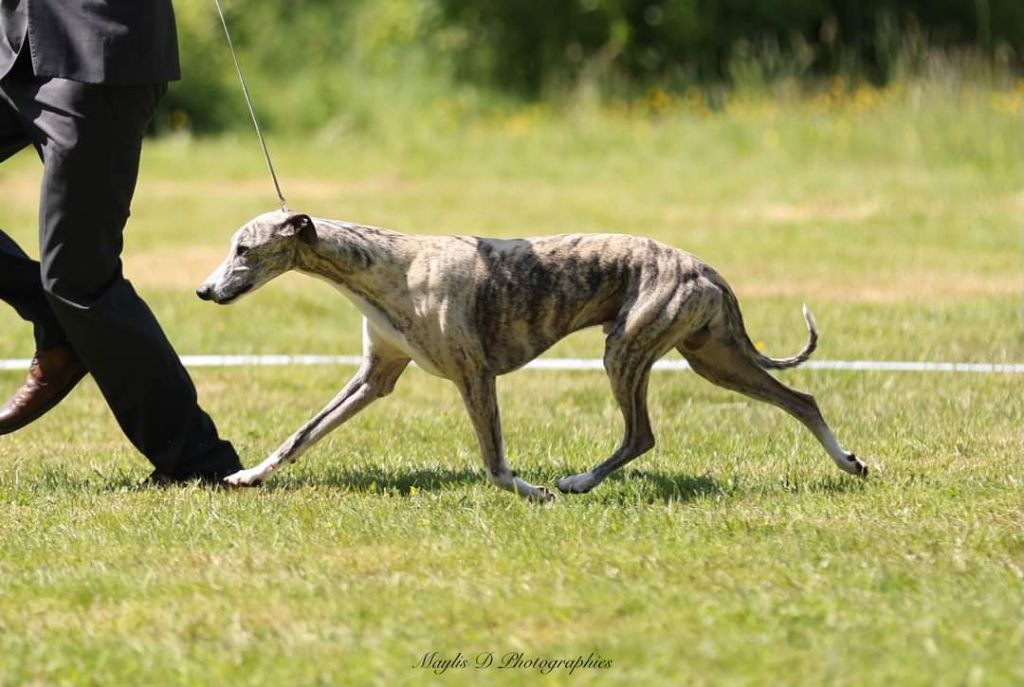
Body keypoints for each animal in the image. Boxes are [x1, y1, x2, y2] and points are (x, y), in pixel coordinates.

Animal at [197, 207, 864, 499]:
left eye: (243, 249)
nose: (204, 291)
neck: (390, 267)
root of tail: (704, 268)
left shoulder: (475, 376)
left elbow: (494, 463)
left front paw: (532, 491)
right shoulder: (374, 377)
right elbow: (302, 435)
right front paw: (247, 474)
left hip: (626, 350)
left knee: (641, 435)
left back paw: (576, 482)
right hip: (713, 357)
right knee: (801, 398)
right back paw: (849, 462)